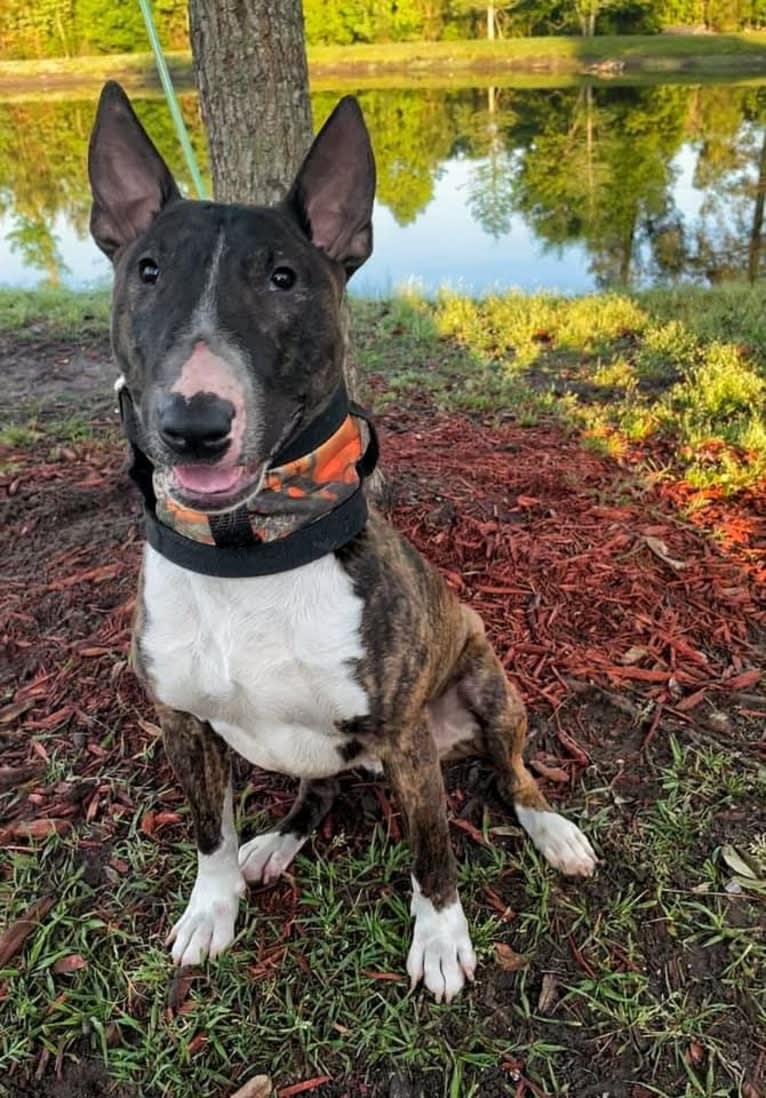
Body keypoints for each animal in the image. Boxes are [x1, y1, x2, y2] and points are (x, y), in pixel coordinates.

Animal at [86, 79, 592, 1005]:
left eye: (285, 278)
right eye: (147, 271)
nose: (193, 425)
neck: (248, 551)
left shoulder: (406, 738)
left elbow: (434, 850)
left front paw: (441, 939)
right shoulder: (181, 724)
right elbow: (209, 835)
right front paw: (211, 910)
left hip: (488, 689)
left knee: (512, 771)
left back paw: (554, 830)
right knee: (317, 793)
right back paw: (278, 841)